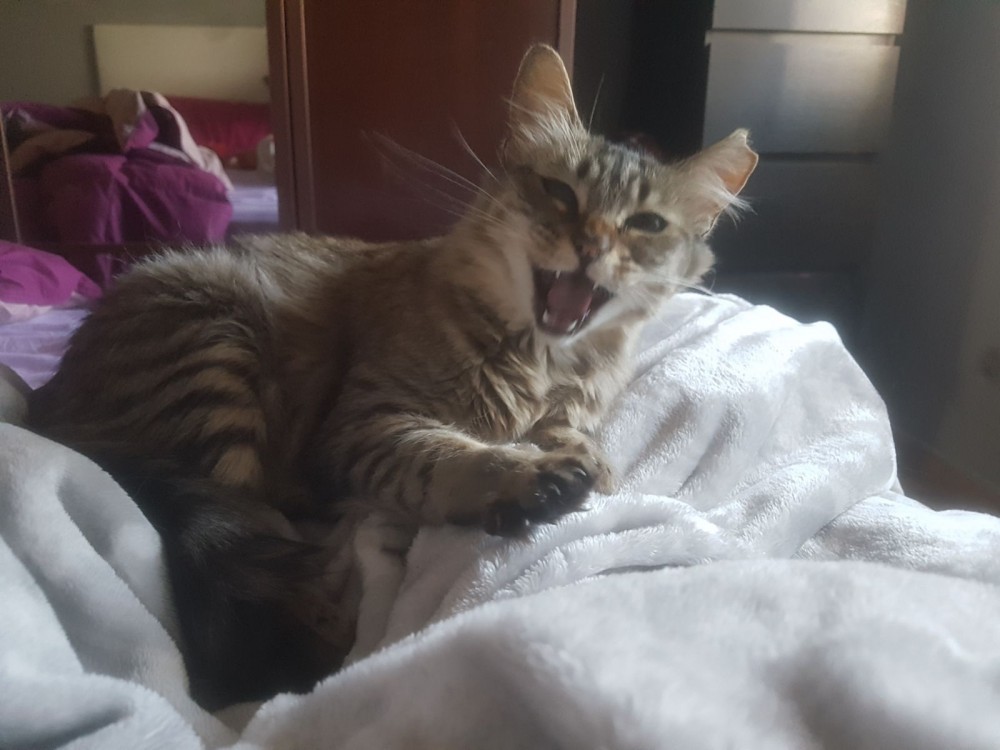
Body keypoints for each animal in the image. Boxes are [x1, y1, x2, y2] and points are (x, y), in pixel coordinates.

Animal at [28, 45, 757, 707]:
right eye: (559, 191)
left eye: (646, 224)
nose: (593, 245)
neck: (540, 362)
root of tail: (45, 407)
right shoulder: (366, 422)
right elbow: (448, 457)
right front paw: (525, 480)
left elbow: (581, 445)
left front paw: (582, 460)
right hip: (214, 348)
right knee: (251, 518)